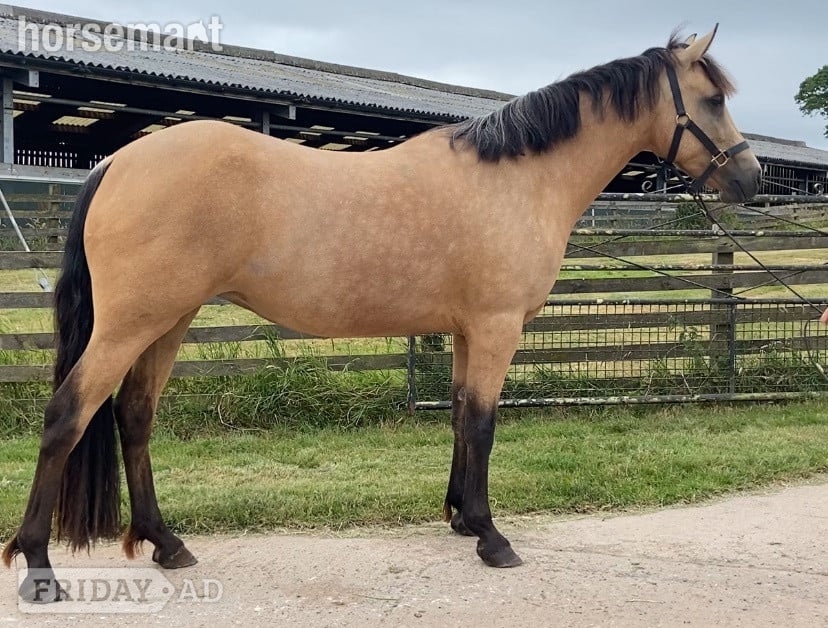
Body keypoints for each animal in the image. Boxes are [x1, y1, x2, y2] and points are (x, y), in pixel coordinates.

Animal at [2, 26, 761, 600]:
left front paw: (461, 519)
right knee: (67, 415)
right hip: (132, 323)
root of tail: (117, 161)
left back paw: (166, 543)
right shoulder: (496, 328)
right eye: (710, 98)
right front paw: (491, 537)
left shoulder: (467, 332)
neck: (516, 179)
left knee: (133, 418)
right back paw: (39, 568)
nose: (752, 179)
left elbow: (459, 418)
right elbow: (483, 426)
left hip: (170, 321)